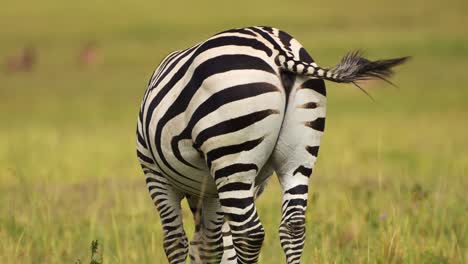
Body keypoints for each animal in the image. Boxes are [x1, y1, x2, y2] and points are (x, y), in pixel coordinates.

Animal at [135, 25, 406, 264]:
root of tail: (278, 50)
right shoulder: (213, 189)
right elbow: (213, 246)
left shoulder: (155, 173)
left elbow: (177, 242)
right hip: (297, 156)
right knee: (293, 226)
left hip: (232, 158)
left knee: (248, 234)